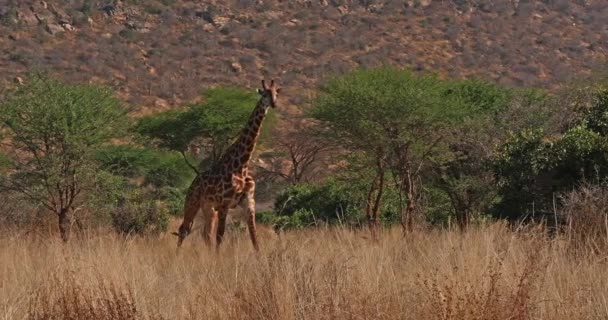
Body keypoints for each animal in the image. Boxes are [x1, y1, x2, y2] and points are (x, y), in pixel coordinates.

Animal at [173, 79, 280, 250]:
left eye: (276, 93)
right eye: (264, 94)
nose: (273, 104)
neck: (242, 165)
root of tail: (193, 182)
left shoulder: (249, 202)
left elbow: (254, 238)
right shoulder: (225, 203)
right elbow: (221, 236)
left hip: (209, 208)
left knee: (205, 233)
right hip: (192, 202)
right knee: (184, 229)